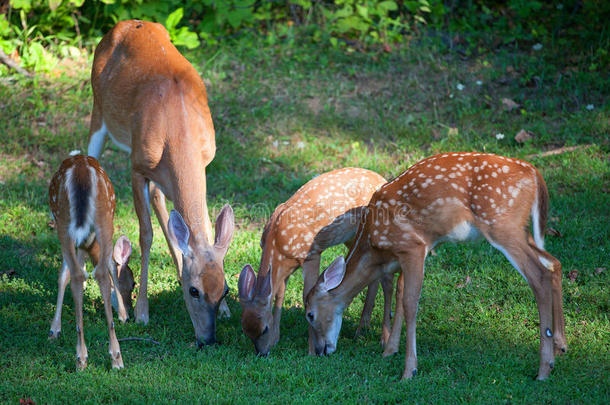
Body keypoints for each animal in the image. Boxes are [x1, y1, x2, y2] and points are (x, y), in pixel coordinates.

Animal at [49, 155, 135, 370]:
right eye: (133, 283)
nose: (130, 311)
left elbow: (66, 273)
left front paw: (54, 329)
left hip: (68, 219)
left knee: (87, 274)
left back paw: (92, 357)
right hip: (101, 217)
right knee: (97, 272)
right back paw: (108, 357)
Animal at [86, 20, 234, 344]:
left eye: (226, 289)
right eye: (194, 291)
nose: (208, 339)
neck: (177, 128)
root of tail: (126, 24)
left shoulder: (204, 164)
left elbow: (201, 224)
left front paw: (227, 311)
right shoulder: (137, 166)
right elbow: (146, 234)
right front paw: (141, 312)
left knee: (161, 201)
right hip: (98, 114)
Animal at [235, 167, 392, 354]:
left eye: (264, 328)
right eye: (245, 330)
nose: (262, 353)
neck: (278, 244)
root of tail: (382, 179)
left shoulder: (312, 254)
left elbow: (305, 295)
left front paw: (311, 350)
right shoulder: (286, 268)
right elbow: (280, 295)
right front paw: (275, 340)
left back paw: (381, 338)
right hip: (351, 236)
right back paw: (362, 330)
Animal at [304, 152, 564, 378]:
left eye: (310, 315)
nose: (320, 351)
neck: (373, 245)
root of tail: (533, 172)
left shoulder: (413, 246)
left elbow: (410, 303)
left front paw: (409, 370)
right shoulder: (410, 252)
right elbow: (400, 294)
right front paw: (389, 351)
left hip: (501, 224)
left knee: (539, 275)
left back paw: (543, 369)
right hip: (521, 230)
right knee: (554, 263)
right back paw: (560, 346)